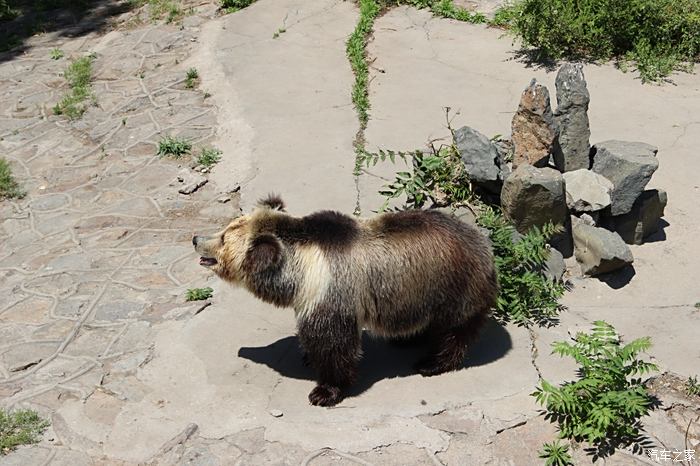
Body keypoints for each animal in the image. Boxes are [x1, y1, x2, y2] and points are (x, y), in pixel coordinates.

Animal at [191, 195, 498, 406]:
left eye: (223, 237)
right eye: (225, 228)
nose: (195, 238)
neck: (302, 270)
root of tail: (484, 243)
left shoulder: (333, 292)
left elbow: (334, 344)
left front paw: (323, 391)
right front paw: (307, 356)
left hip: (453, 286)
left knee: (454, 331)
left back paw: (431, 363)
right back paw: (405, 339)